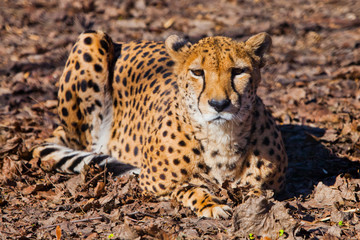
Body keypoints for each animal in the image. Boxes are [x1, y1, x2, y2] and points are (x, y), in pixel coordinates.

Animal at [33, 30, 286, 219]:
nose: (219, 104)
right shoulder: (151, 184)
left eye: (238, 71)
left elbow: (258, 191)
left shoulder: (272, 187)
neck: (221, 137)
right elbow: (188, 188)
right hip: (91, 39)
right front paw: (212, 204)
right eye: (197, 72)